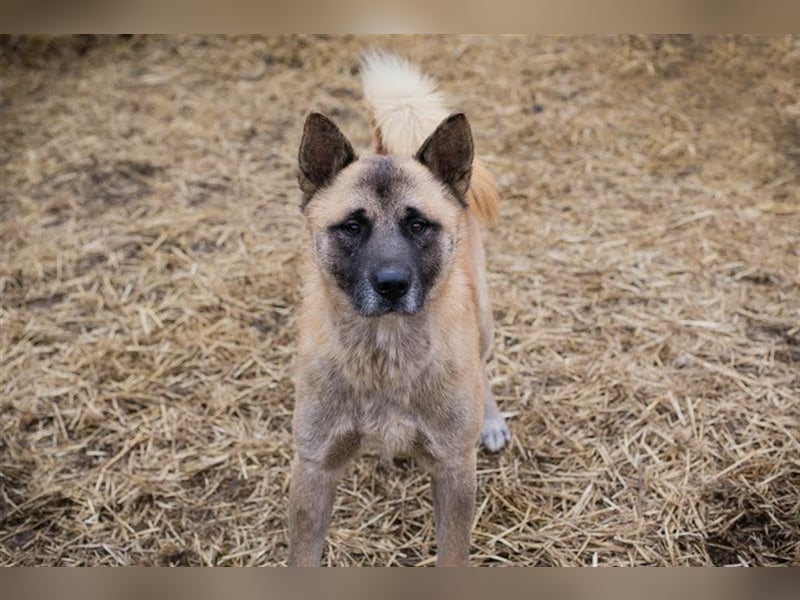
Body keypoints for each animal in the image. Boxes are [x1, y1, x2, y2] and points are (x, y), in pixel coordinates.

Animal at [288, 51, 512, 568]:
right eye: (352, 226)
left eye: (418, 224)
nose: (392, 285)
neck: (384, 355)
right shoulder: (314, 469)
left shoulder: (453, 472)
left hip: (484, 322)